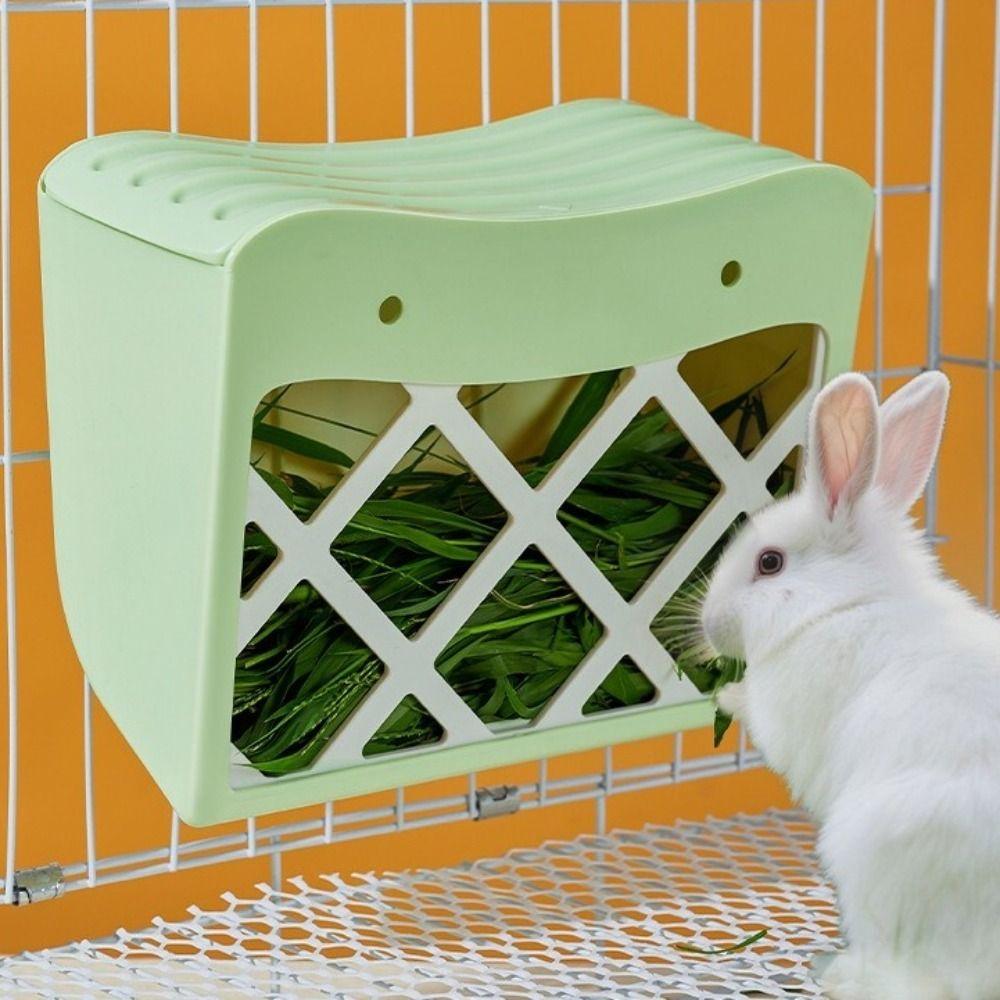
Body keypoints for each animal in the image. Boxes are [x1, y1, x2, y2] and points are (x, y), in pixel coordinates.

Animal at [698, 370, 1000, 1000]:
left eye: (769, 563)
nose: (709, 626)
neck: (844, 603)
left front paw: (726, 696)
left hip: (871, 853)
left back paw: (837, 973)